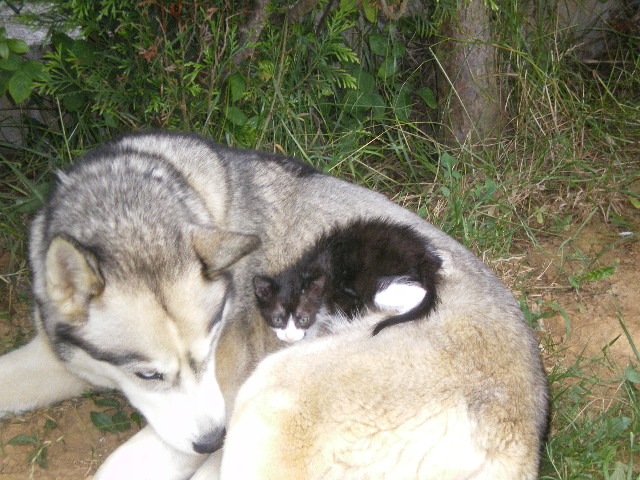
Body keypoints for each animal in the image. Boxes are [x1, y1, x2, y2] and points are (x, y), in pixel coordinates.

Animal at [252, 218, 442, 342]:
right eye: (277, 319)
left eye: (303, 319)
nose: (289, 337)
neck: (305, 272)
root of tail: (426, 259)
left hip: (375, 283)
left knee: (416, 293)